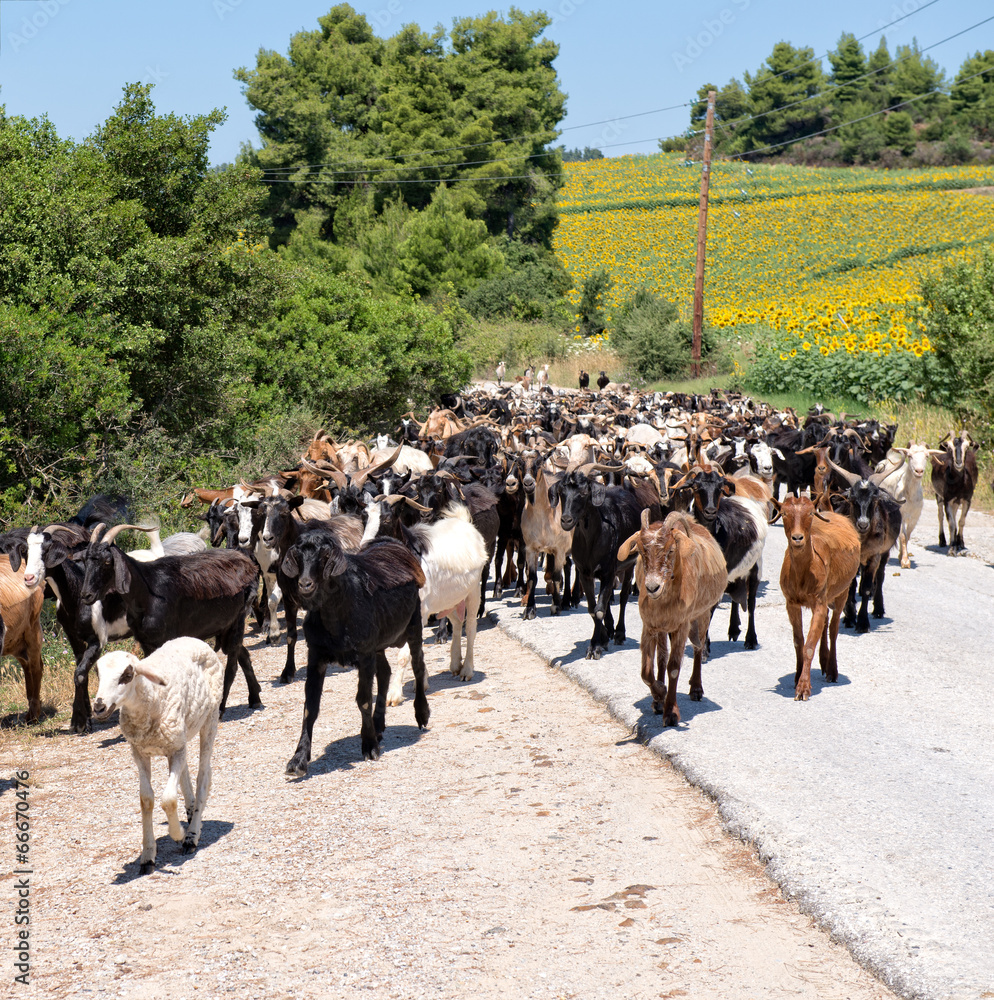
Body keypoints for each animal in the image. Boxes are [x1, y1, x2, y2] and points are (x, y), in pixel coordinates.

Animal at [79, 524, 261, 715]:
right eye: (85, 560)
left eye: (107, 561)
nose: (86, 595)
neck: (146, 594)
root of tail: (248, 564)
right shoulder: (147, 643)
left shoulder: (166, 639)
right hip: (224, 629)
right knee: (244, 655)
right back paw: (255, 698)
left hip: (237, 622)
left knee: (232, 667)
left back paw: (221, 708)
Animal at [93, 638, 223, 873]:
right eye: (98, 674)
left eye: (127, 675)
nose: (99, 707)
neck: (152, 696)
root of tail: (193, 639)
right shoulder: (140, 752)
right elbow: (146, 800)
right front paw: (147, 856)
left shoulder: (175, 750)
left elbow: (168, 799)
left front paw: (178, 833)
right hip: (180, 735)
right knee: (186, 771)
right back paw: (190, 811)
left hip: (210, 719)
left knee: (203, 775)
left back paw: (191, 835)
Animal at [281, 531, 429, 773]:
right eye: (298, 556)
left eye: (325, 557)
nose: (305, 584)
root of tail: (392, 543)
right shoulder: (316, 654)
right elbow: (310, 706)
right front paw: (298, 759)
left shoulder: (364, 653)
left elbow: (363, 699)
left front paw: (369, 747)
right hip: (378, 643)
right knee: (385, 671)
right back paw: (378, 725)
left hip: (414, 623)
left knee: (418, 664)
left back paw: (422, 714)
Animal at [617, 510, 727, 725]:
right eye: (640, 551)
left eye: (671, 550)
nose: (652, 587)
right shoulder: (650, 626)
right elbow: (647, 670)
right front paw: (660, 692)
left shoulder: (682, 626)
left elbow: (674, 668)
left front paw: (671, 713)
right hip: (663, 628)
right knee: (662, 656)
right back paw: (659, 699)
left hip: (702, 615)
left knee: (699, 647)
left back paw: (696, 689)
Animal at [776, 494, 861, 700]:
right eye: (784, 513)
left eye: (810, 513)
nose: (797, 538)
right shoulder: (792, 603)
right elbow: (799, 641)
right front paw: (797, 677)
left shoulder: (819, 601)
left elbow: (808, 646)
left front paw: (803, 688)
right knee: (825, 624)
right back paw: (824, 661)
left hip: (843, 592)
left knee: (833, 628)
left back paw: (832, 670)